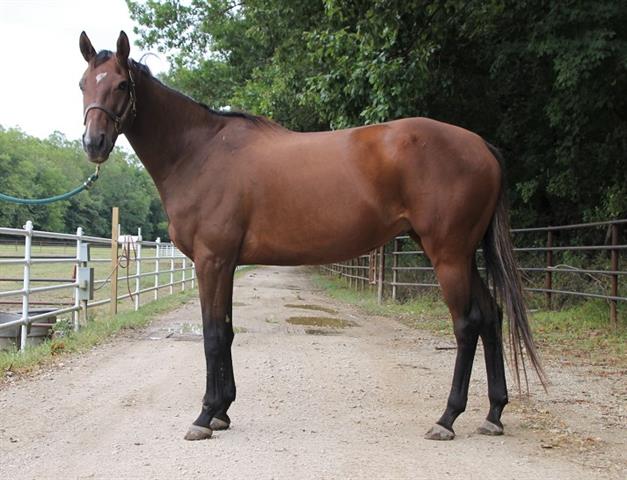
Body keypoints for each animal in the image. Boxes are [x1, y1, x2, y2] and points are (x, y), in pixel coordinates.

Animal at [78, 31, 548, 440]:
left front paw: (205, 415)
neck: (200, 152)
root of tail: (481, 146)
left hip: (448, 254)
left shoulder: (212, 260)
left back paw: (447, 419)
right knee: (491, 316)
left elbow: (212, 335)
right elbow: (226, 331)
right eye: (83, 84)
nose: (93, 143)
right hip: (462, 254)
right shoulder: (225, 263)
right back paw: (493, 414)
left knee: (466, 325)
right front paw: (223, 412)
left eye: (122, 84)